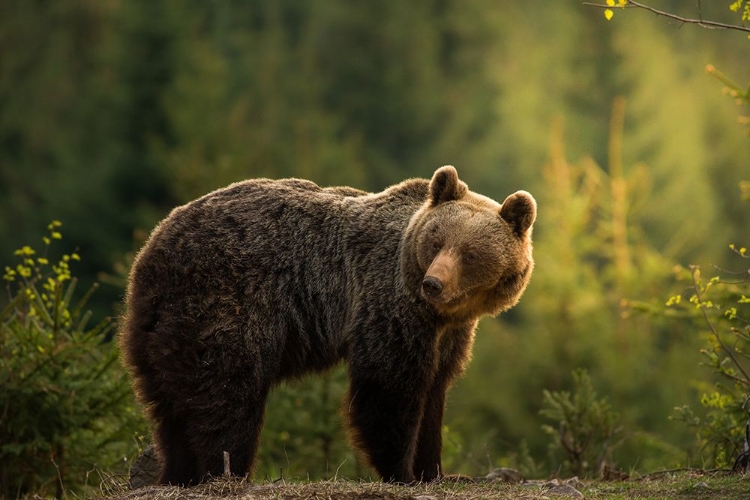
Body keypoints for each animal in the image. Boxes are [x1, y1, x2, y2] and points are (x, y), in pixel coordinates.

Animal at [120, 166, 536, 486]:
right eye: (436, 242)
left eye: (470, 253)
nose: (433, 283)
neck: (441, 313)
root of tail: (151, 249)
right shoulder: (387, 302)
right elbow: (389, 387)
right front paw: (401, 471)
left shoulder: (449, 334)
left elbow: (435, 392)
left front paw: (435, 471)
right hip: (225, 303)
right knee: (228, 393)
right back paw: (226, 471)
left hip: (159, 327)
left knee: (169, 405)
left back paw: (177, 472)